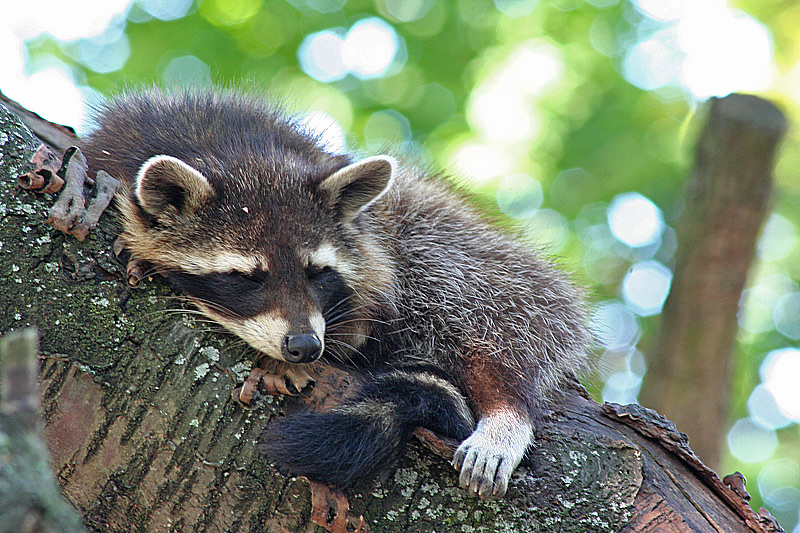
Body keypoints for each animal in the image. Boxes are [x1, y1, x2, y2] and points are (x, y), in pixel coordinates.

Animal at [81, 88, 592, 498]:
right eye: (248, 278)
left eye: (317, 273)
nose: (305, 347)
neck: (234, 148)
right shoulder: (119, 136)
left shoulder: (374, 236)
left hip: (452, 237)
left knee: (491, 295)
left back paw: (507, 405)